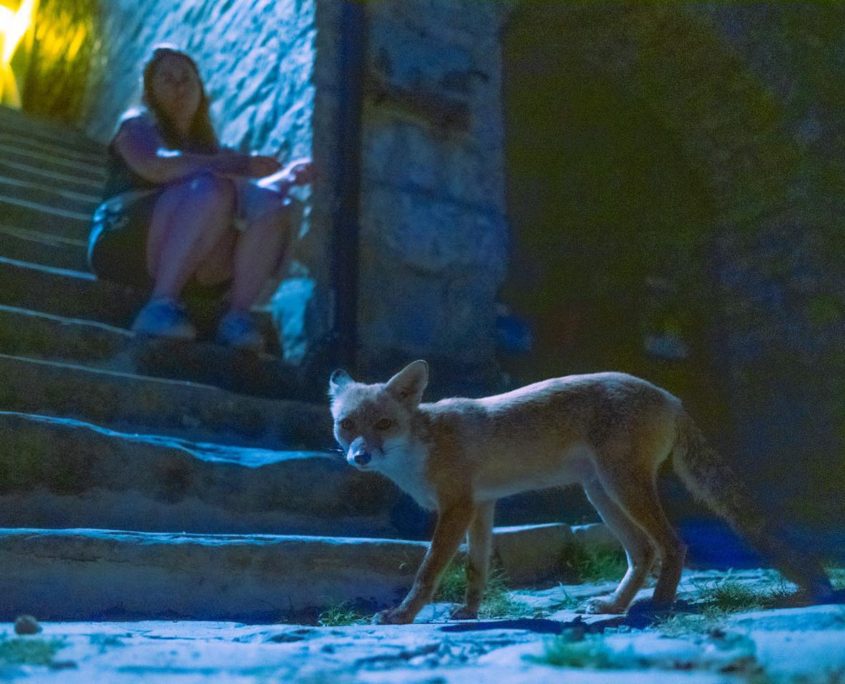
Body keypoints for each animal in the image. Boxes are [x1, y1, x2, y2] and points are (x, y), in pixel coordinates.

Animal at [329, 360, 835, 625]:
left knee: (672, 545)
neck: (423, 445)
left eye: (384, 424)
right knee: (643, 553)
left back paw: (657, 606)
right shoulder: (482, 505)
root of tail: (671, 398)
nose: (360, 457)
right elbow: (476, 569)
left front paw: (402, 616)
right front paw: (470, 613)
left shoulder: (456, 507)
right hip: (601, 494)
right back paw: (615, 605)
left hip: (620, 488)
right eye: (347, 425)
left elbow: (427, 570)